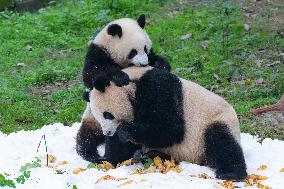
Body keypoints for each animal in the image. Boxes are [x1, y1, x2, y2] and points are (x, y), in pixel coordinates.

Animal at [76, 14, 171, 165]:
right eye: (133, 52)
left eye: (145, 48)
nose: (143, 63)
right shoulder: (97, 53)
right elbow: (92, 73)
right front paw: (120, 77)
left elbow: (158, 61)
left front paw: (161, 66)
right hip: (93, 119)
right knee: (86, 137)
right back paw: (92, 154)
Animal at [87, 66, 247, 180]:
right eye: (98, 117)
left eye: (107, 114)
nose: (108, 132)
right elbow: (120, 146)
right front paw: (106, 161)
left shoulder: (159, 87)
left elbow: (170, 128)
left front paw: (125, 132)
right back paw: (152, 155)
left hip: (215, 121)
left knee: (221, 141)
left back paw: (232, 173)